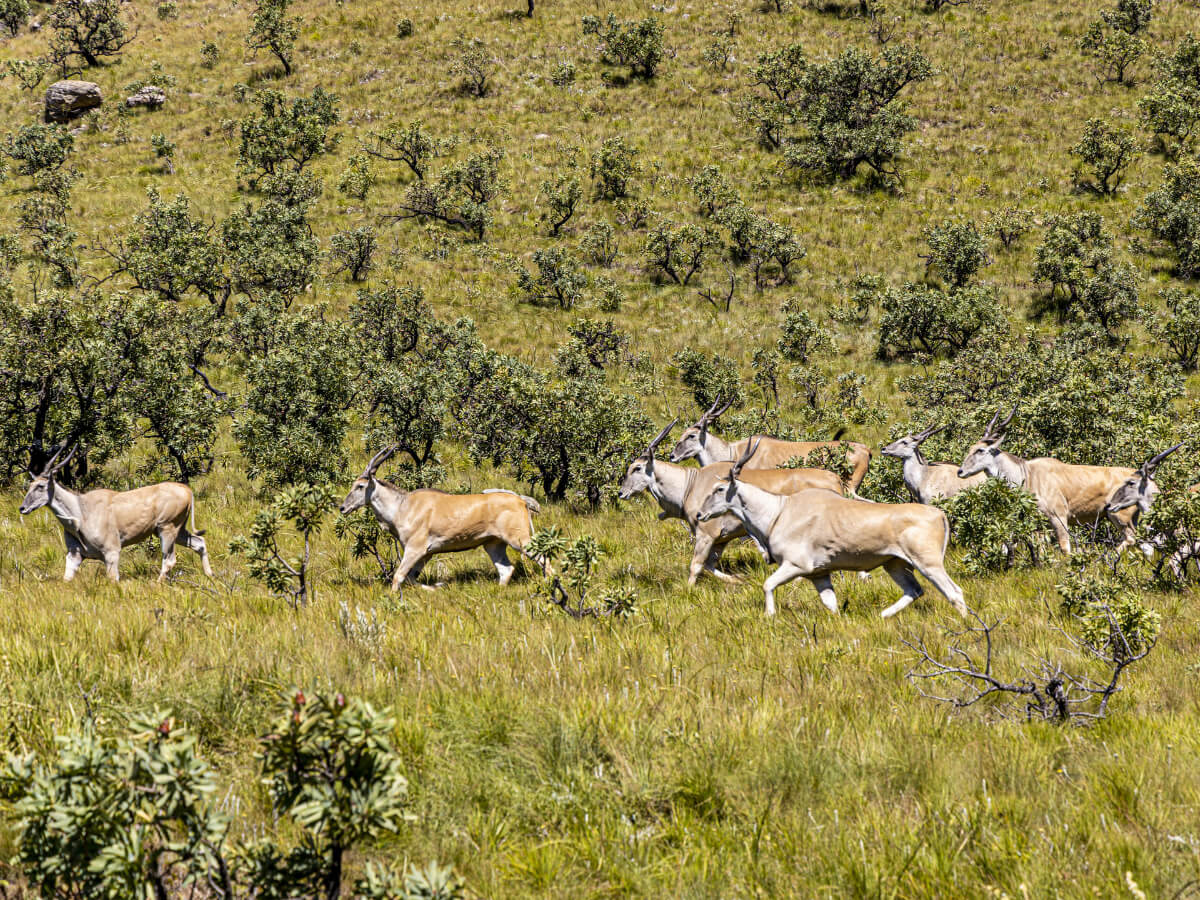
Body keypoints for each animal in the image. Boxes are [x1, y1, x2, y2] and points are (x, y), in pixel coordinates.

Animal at [18, 446, 213, 585]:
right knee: (200, 543)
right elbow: (66, 579)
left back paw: (157, 585)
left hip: (167, 529)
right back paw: (210, 576)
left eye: (41, 486)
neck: (81, 512)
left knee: (170, 560)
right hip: (176, 530)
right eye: (30, 486)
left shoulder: (111, 552)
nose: (22, 508)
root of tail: (186, 489)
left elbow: (113, 580)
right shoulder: (74, 556)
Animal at [343, 446, 549, 592]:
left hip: (519, 540)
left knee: (544, 560)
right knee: (506, 570)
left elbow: (398, 576)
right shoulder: (426, 553)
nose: (343, 507)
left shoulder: (415, 549)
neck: (403, 506)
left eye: (360, 486)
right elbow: (411, 578)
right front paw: (438, 586)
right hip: (493, 544)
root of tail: (521, 500)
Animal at [624, 422, 840, 585]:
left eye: (637, 468)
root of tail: (835, 479)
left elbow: (696, 566)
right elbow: (710, 566)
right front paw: (737, 580)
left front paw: (688, 590)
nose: (621, 492)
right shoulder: (721, 540)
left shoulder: (706, 536)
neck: (690, 484)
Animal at [696, 441, 964, 619]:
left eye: (719, 490)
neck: (779, 511)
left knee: (955, 593)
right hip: (894, 564)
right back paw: (883, 615)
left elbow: (768, 584)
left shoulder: (795, 566)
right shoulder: (819, 574)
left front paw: (769, 616)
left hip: (928, 564)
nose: (699, 515)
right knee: (914, 590)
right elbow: (831, 604)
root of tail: (939, 514)